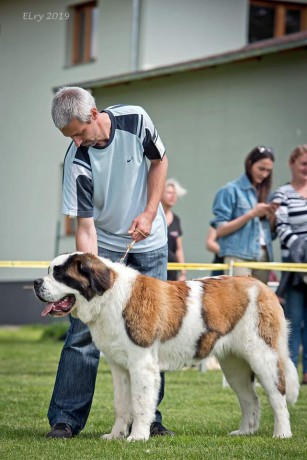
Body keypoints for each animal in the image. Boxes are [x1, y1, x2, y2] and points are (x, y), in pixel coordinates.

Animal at [34, 253, 300, 440]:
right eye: (48, 271)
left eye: (59, 275)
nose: (36, 282)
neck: (109, 297)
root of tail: (261, 286)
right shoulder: (119, 368)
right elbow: (121, 405)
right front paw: (116, 435)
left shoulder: (141, 365)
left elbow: (141, 403)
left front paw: (137, 437)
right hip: (234, 366)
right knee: (250, 398)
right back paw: (245, 432)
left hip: (263, 356)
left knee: (277, 396)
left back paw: (282, 433)